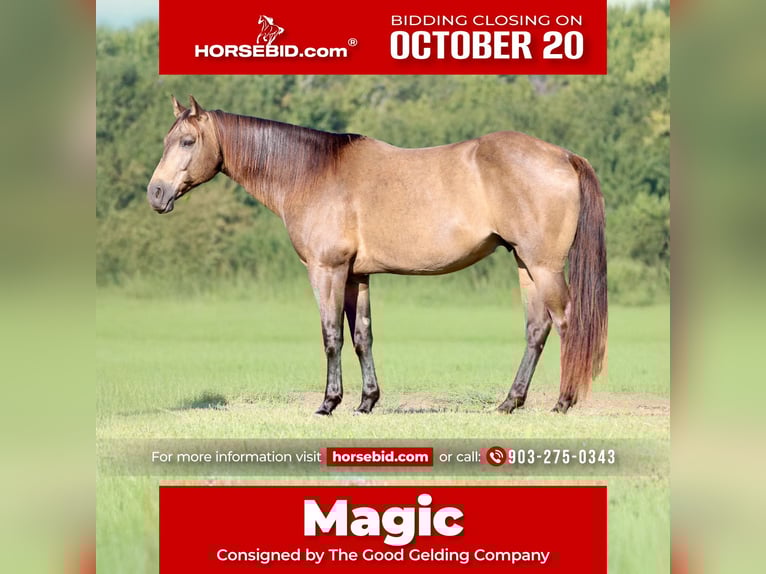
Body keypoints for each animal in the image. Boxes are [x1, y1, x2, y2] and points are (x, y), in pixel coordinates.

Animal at [147, 96, 607, 416]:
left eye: (187, 141)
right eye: (166, 140)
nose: (155, 193)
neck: (313, 173)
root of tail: (564, 155)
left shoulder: (327, 270)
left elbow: (331, 335)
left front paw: (329, 403)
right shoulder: (357, 276)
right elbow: (362, 336)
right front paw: (367, 401)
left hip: (544, 266)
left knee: (566, 323)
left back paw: (563, 401)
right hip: (525, 264)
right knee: (536, 329)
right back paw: (511, 402)